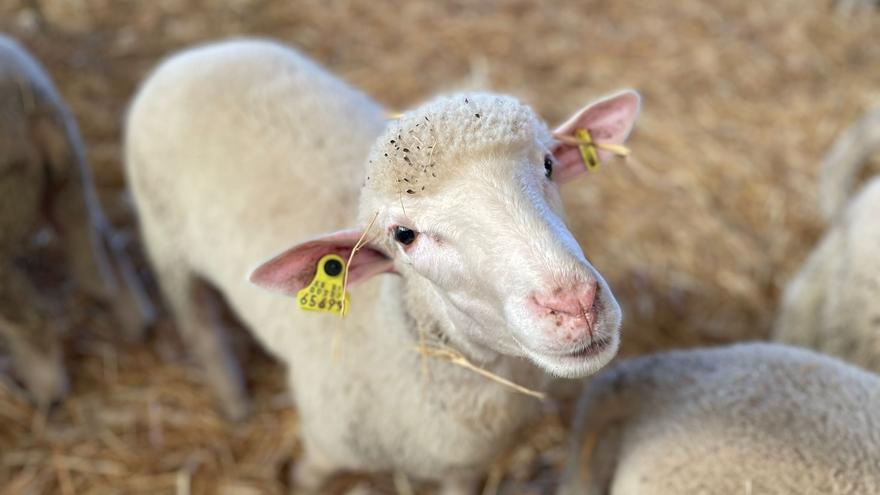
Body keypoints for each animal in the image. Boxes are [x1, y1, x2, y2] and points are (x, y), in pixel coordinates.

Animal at [125, 38, 640, 493]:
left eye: (549, 164)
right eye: (404, 235)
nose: (575, 303)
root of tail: (202, 53)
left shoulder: (463, 469)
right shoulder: (324, 446)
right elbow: (305, 480)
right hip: (163, 235)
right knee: (198, 321)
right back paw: (233, 399)